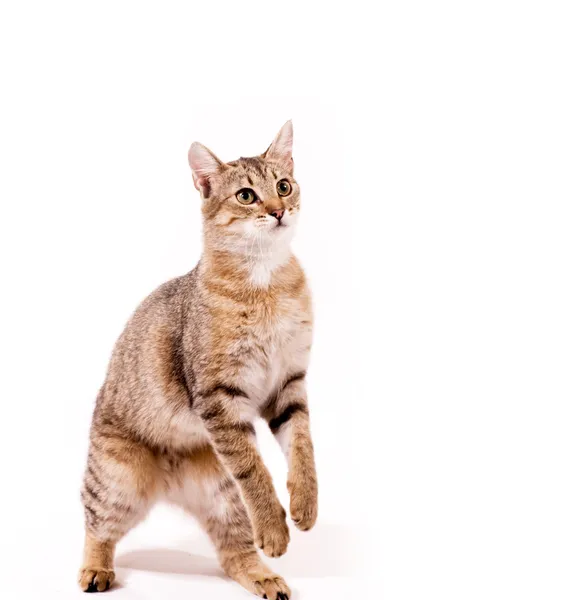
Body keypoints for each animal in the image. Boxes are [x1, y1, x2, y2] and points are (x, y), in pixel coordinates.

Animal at [77, 122, 316, 600]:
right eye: (246, 195)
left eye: (284, 185)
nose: (279, 210)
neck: (266, 281)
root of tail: (169, 483)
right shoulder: (219, 397)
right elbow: (254, 470)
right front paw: (275, 529)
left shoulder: (289, 384)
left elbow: (302, 448)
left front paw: (305, 502)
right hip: (116, 480)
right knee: (97, 526)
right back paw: (95, 568)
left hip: (223, 497)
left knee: (234, 552)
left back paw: (264, 577)